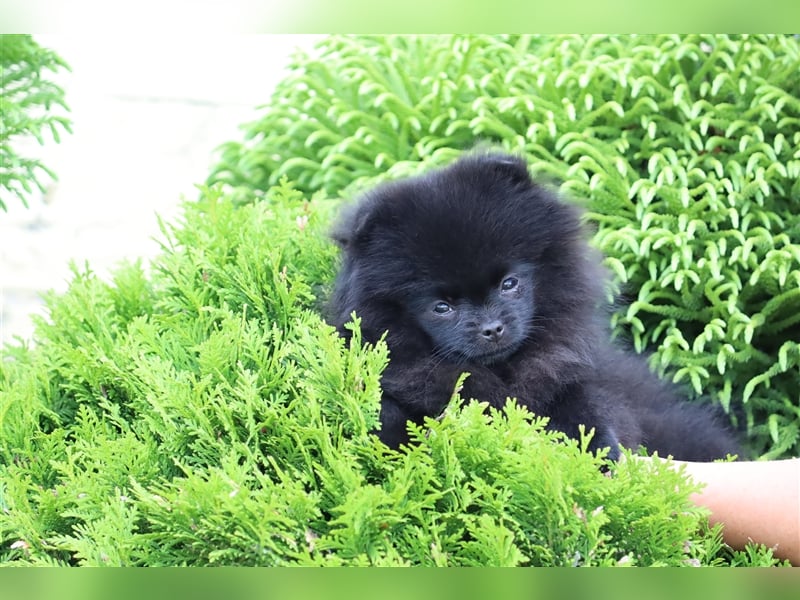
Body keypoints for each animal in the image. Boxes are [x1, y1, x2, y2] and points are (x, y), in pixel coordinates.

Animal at [328, 152, 740, 462]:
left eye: (509, 284)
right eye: (441, 307)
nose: (492, 327)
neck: (504, 375)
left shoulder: (570, 373)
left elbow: (587, 408)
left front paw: (600, 451)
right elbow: (395, 414)